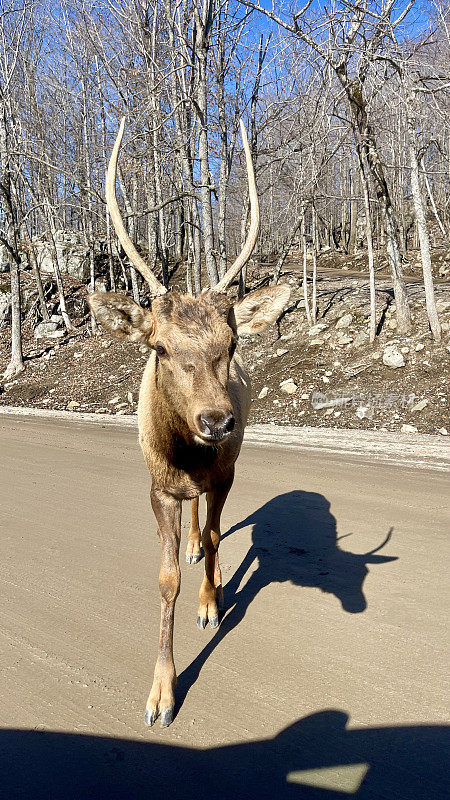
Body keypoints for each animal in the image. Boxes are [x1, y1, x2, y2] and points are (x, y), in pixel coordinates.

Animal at [88, 117, 290, 724]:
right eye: (159, 346)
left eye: (231, 343)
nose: (217, 420)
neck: (184, 455)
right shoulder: (157, 486)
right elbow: (165, 578)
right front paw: (160, 693)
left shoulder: (223, 472)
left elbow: (222, 535)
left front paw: (211, 603)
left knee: (214, 526)